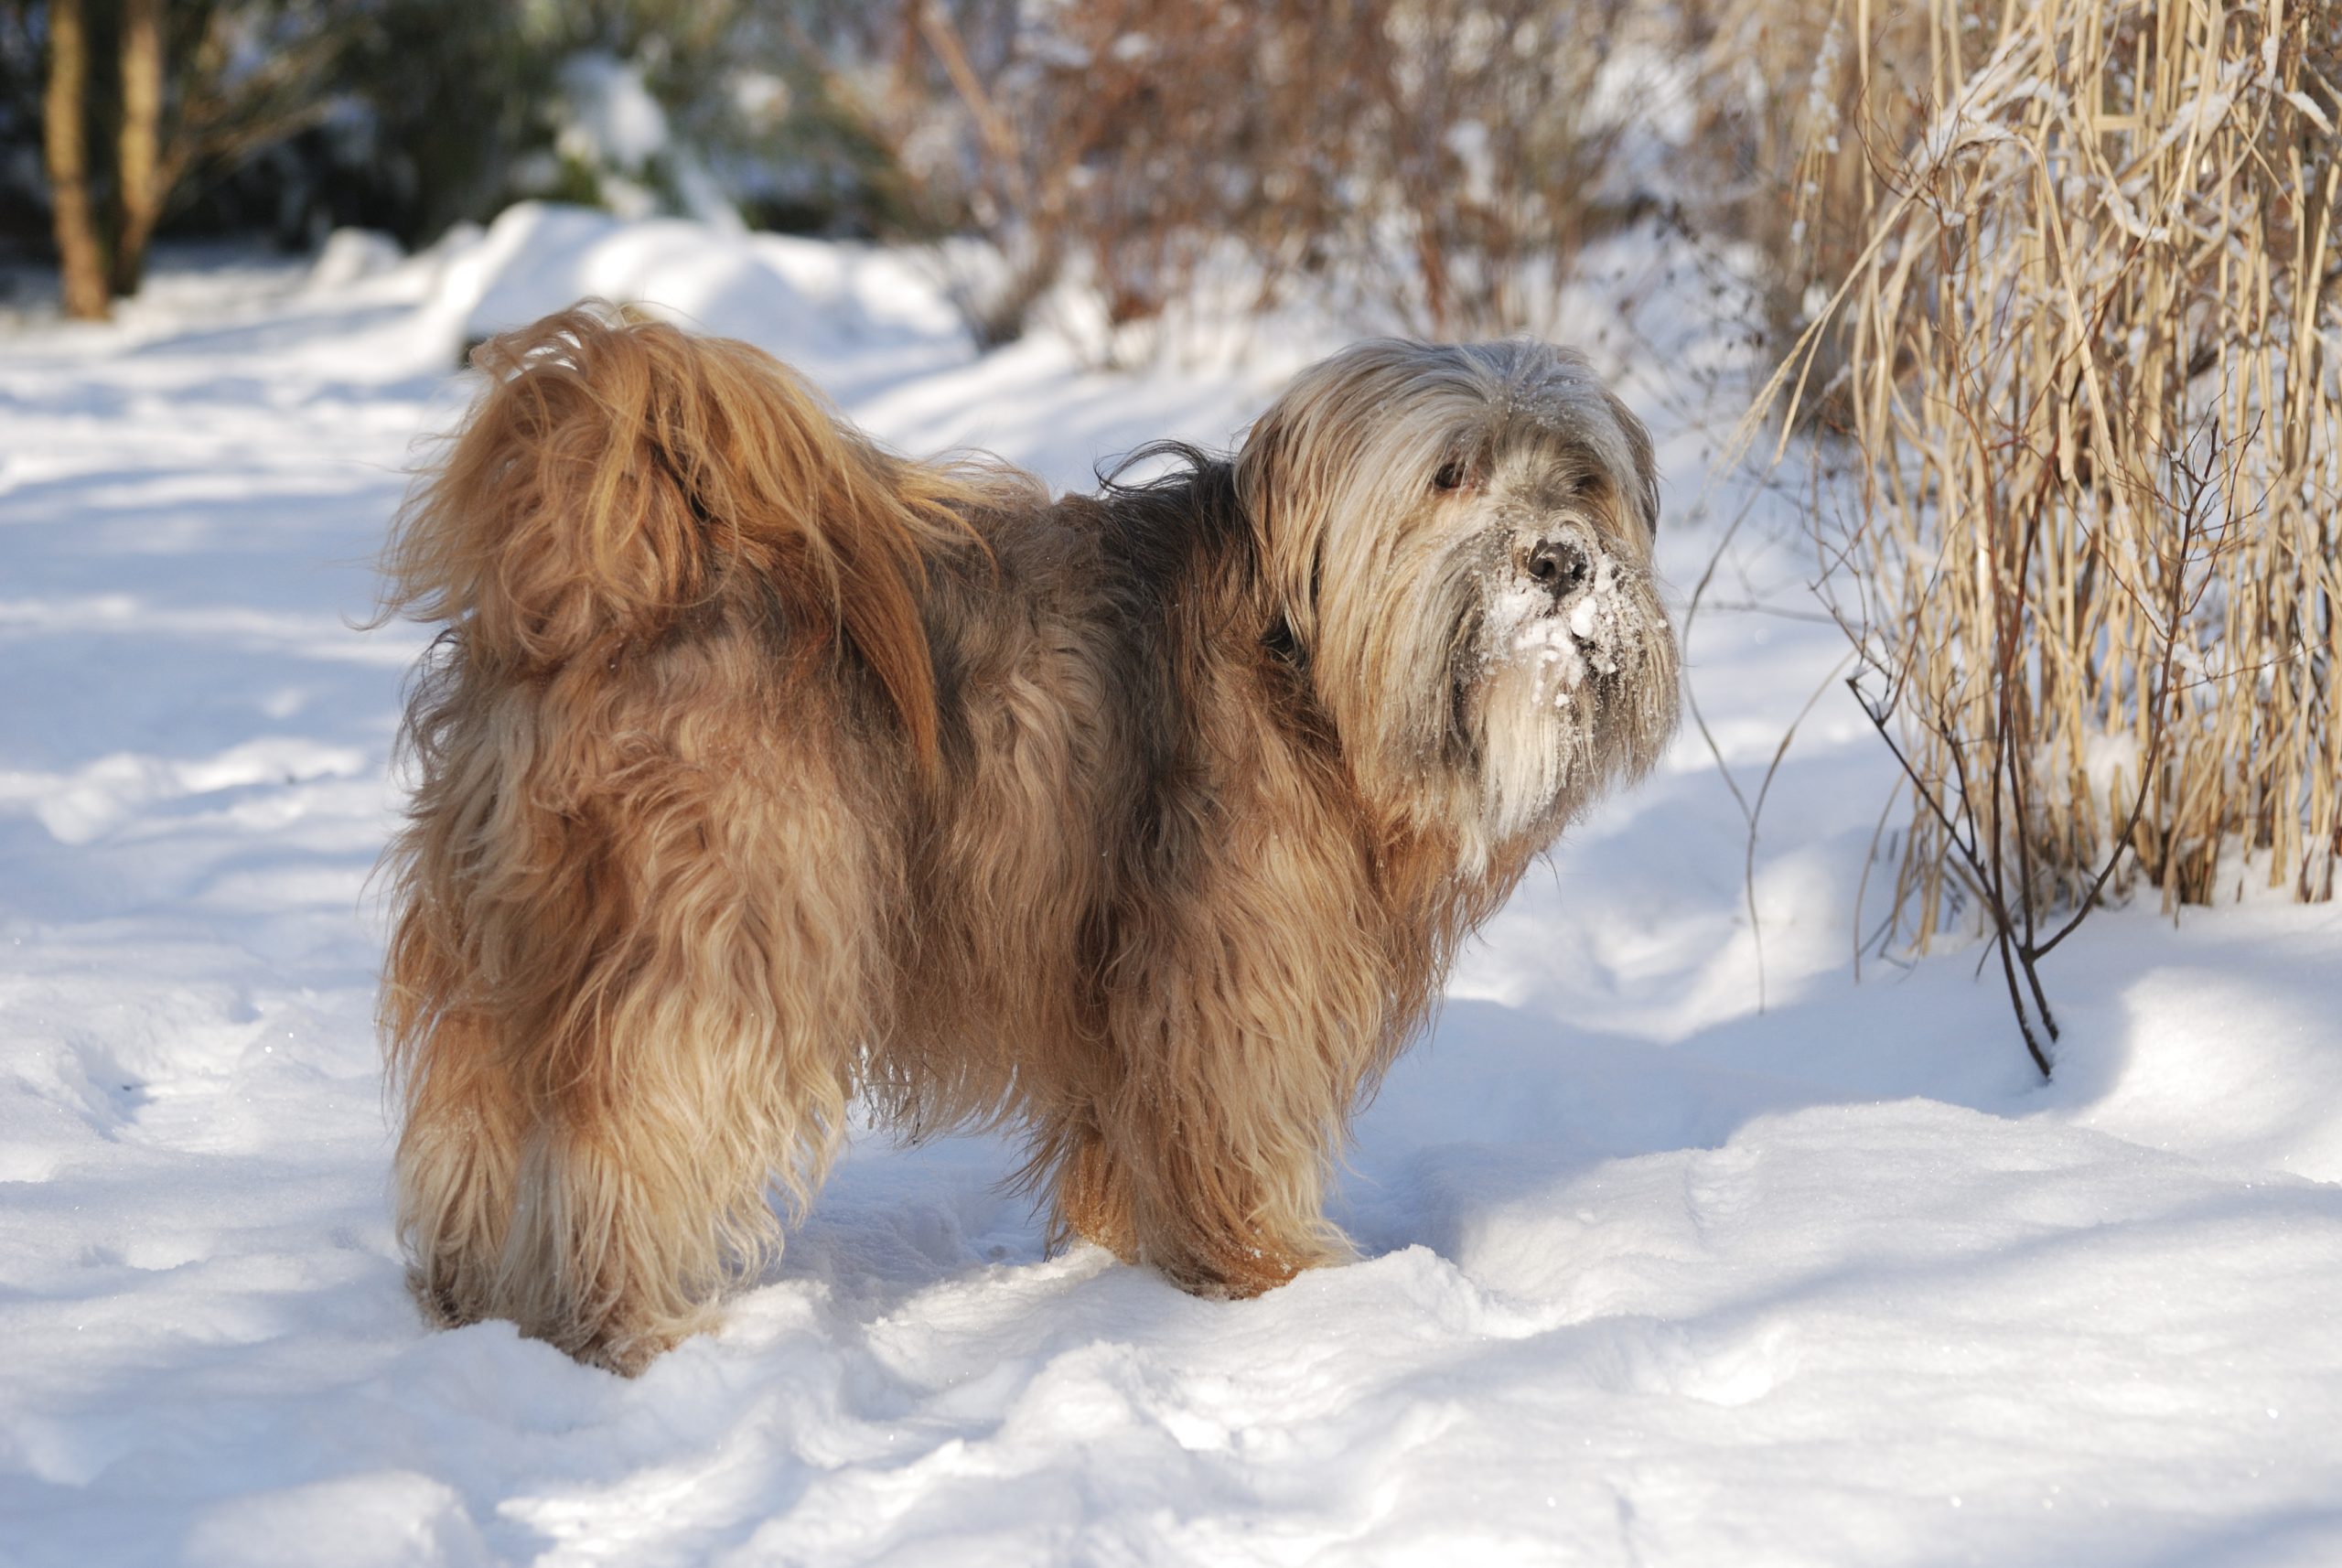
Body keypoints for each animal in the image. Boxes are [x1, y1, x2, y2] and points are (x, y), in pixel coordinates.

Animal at [374, 306, 1676, 1376]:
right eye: (1451, 473)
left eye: (1581, 475)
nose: (1558, 561)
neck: (1307, 666)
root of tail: (599, 589)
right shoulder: (1236, 978)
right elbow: (1233, 1137)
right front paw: (1284, 1289)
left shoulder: (1122, 986)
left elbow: (1125, 1142)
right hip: (738, 939)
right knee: (638, 1125)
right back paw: (635, 1330)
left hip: (506, 940)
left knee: (479, 1125)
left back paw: (479, 1313)